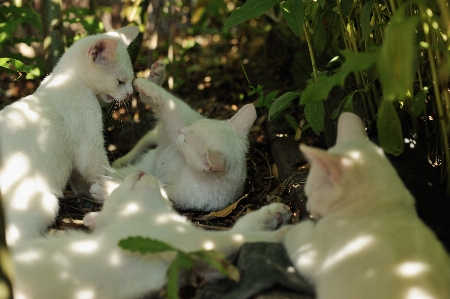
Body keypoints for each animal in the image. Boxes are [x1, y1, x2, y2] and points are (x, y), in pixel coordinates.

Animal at [0, 25, 139, 246]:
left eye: (130, 81)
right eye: (120, 82)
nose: (130, 93)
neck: (65, 78)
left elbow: (80, 180)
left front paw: (88, 198)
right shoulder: (89, 147)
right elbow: (101, 170)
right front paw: (115, 188)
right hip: (42, 203)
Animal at [13, 171, 292, 299]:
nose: (140, 173)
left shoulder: (204, 266)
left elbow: (241, 230)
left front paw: (272, 215)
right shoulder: (190, 241)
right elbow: (240, 237)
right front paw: (288, 236)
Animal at [91, 65, 256, 211]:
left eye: (186, 140)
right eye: (192, 127)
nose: (180, 131)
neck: (189, 170)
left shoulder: (181, 196)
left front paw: (106, 189)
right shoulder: (181, 121)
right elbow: (169, 104)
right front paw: (145, 85)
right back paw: (154, 78)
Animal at [284, 113, 450, 299]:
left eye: (310, 193)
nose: (308, 208)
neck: (383, 208)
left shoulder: (312, 253)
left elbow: (296, 235)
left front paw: (287, 229)